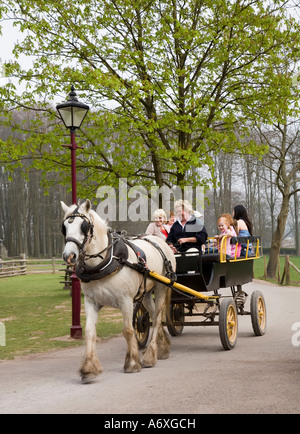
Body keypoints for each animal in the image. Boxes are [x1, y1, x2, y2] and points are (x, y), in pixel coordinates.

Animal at [60, 200, 176, 384]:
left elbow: (128, 330)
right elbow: (90, 332)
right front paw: (89, 368)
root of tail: (160, 242)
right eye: (64, 227)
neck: (105, 262)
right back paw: (162, 347)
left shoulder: (125, 300)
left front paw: (132, 363)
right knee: (152, 314)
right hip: (145, 292)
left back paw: (150, 355)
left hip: (161, 288)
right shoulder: (91, 302)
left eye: (83, 226)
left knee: (157, 318)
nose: (69, 256)